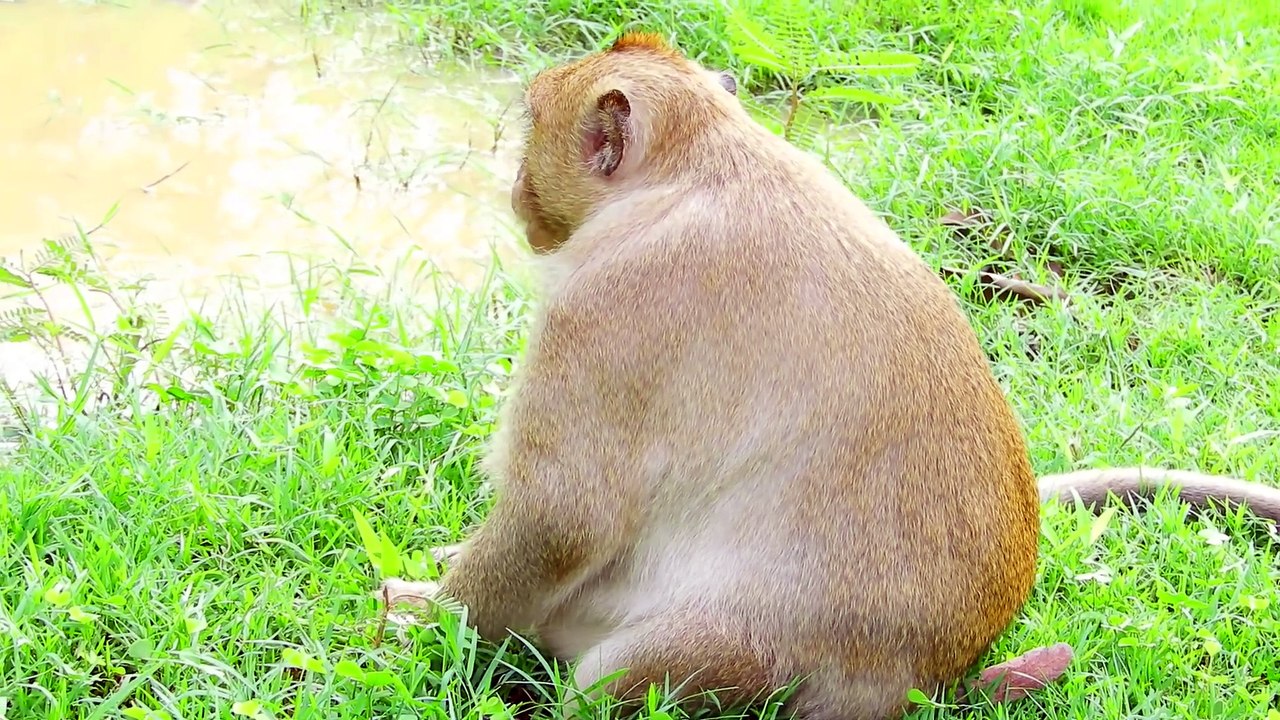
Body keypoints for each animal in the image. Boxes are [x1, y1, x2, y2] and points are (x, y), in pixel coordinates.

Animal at [379, 33, 1280, 720]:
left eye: (533, 128)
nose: (516, 191)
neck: (703, 162)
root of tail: (922, 682)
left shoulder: (603, 312)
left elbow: (563, 515)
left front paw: (426, 626)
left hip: (742, 657)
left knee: (609, 677)